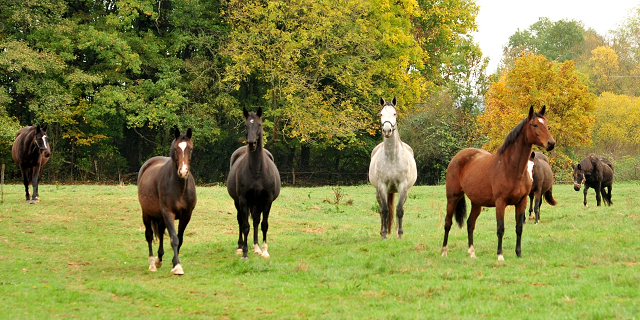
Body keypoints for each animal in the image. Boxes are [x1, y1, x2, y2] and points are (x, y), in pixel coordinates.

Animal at [140, 127, 198, 276]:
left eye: (190, 148)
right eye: (176, 149)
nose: (183, 172)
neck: (180, 187)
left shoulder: (186, 215)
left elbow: (180, 238)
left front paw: (174, 262)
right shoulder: (168, 213)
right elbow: (174, 239)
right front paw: (177, 266)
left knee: (160, 232)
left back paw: (158, 260)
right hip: (147, 214)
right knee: (149, 235)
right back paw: (152, 263)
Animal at [229, 107, 282, 260]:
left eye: (259, 124)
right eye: (246, 125)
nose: (251, 143)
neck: (256, 170)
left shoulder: (267, 200)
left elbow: (264, 224)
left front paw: (264, 251)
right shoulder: (243, 200)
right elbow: (245, 225)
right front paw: (245, 253)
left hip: (257, 203)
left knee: (256, 220)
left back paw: (257, 247)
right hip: (239, 202)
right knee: (241, 220)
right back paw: (240, 247)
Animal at [368, 96, 418, 239]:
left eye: (394, 114)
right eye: (381, 114)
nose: (387, 130)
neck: (391, 157)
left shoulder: (402, 186)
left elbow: (399, 210)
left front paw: (399, 234)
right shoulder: (382, 186)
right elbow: (385, 211)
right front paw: (384, 234)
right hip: (379, 192)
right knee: (381, 210)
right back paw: (382, 231)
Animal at [440, 106, 556, 262]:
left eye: (547, 124)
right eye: (535, 125)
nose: (551, 143)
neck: (511, 168)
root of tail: (457, 157)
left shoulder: (522, 202)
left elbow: (519, 227)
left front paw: (518, 253)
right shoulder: (500, 202)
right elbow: (500, 228)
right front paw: (500, 255)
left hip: (476, 202)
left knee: (470, 224)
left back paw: (472, 252)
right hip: (453, 197)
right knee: (448, 223)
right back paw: (444, 251)